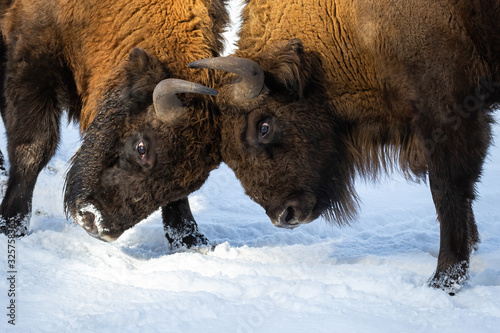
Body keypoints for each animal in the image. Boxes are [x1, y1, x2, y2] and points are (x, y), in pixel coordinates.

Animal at [0, 0, 229, 246]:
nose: (96, 225)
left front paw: (190, 238)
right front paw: (11, 226)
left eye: (194, 182)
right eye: (141, 148)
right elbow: (34, 148)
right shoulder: (33, 62)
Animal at [190, 0, 500, 292]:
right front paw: (471, 248)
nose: (284, 216)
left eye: (263, 127)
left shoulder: (449, 115)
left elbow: (447, 192)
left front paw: (444, 280)